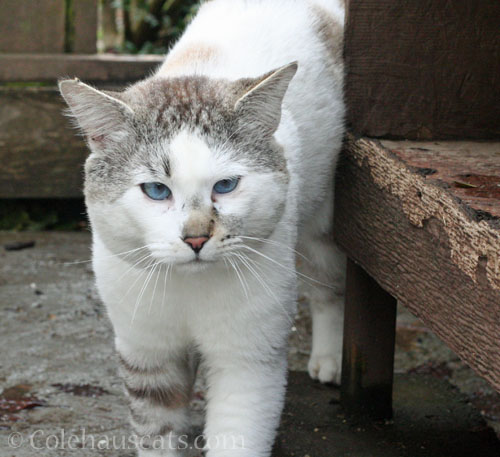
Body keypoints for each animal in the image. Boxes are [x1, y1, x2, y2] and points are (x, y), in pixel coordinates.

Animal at [58, 0, 346, 456]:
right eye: (156, 190)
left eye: (225, 186)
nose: (195, 238)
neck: (188, 290)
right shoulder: (146, 353)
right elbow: (156, 433)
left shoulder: (247, 358)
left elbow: (237, 434)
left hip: (321, 225)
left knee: (329, 287)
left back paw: (330, 359)